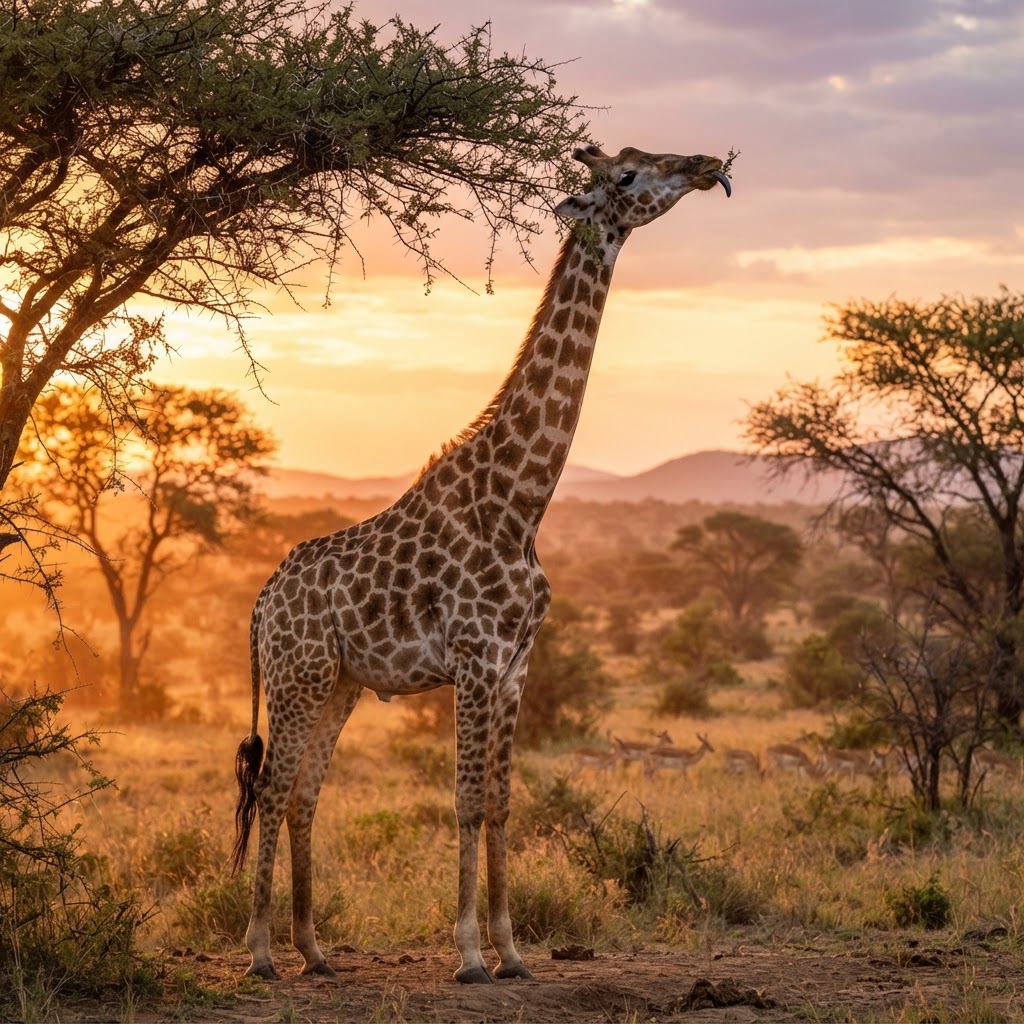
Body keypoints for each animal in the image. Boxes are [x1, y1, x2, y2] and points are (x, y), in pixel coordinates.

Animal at [231, 144, 731, 984]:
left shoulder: (517, 661)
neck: (520, 503)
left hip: (342, 683)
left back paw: (315, 951)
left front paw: (512, 950)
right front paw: (468, 953)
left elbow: (502, 801)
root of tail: (261, 602)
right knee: (270, 789)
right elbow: (466, 799)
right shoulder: (473, 656)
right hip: (298, 676)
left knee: (303, 794)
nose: (705, 167)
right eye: (626, 176)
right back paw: (264, 952)